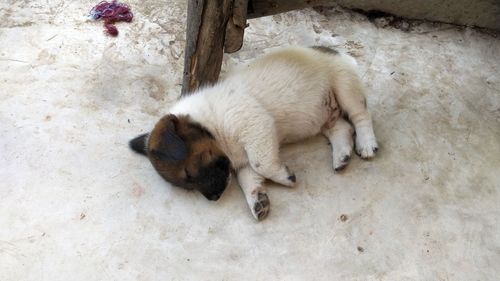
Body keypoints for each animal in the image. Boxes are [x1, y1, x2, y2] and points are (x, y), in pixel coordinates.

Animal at [129, 46, 378, 220]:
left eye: (189, 174)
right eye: (186, 185)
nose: (215, 199)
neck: (210, 124)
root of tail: (334, 51)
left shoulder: (256, 126)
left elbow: (262, 164)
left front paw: (284, 178)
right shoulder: (241, 161)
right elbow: (249, 177)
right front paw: (257, 200)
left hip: (345, 87)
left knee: (360, 117)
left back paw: (366, 144)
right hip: (325, 117)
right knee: (342, 128)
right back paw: (341, 156)